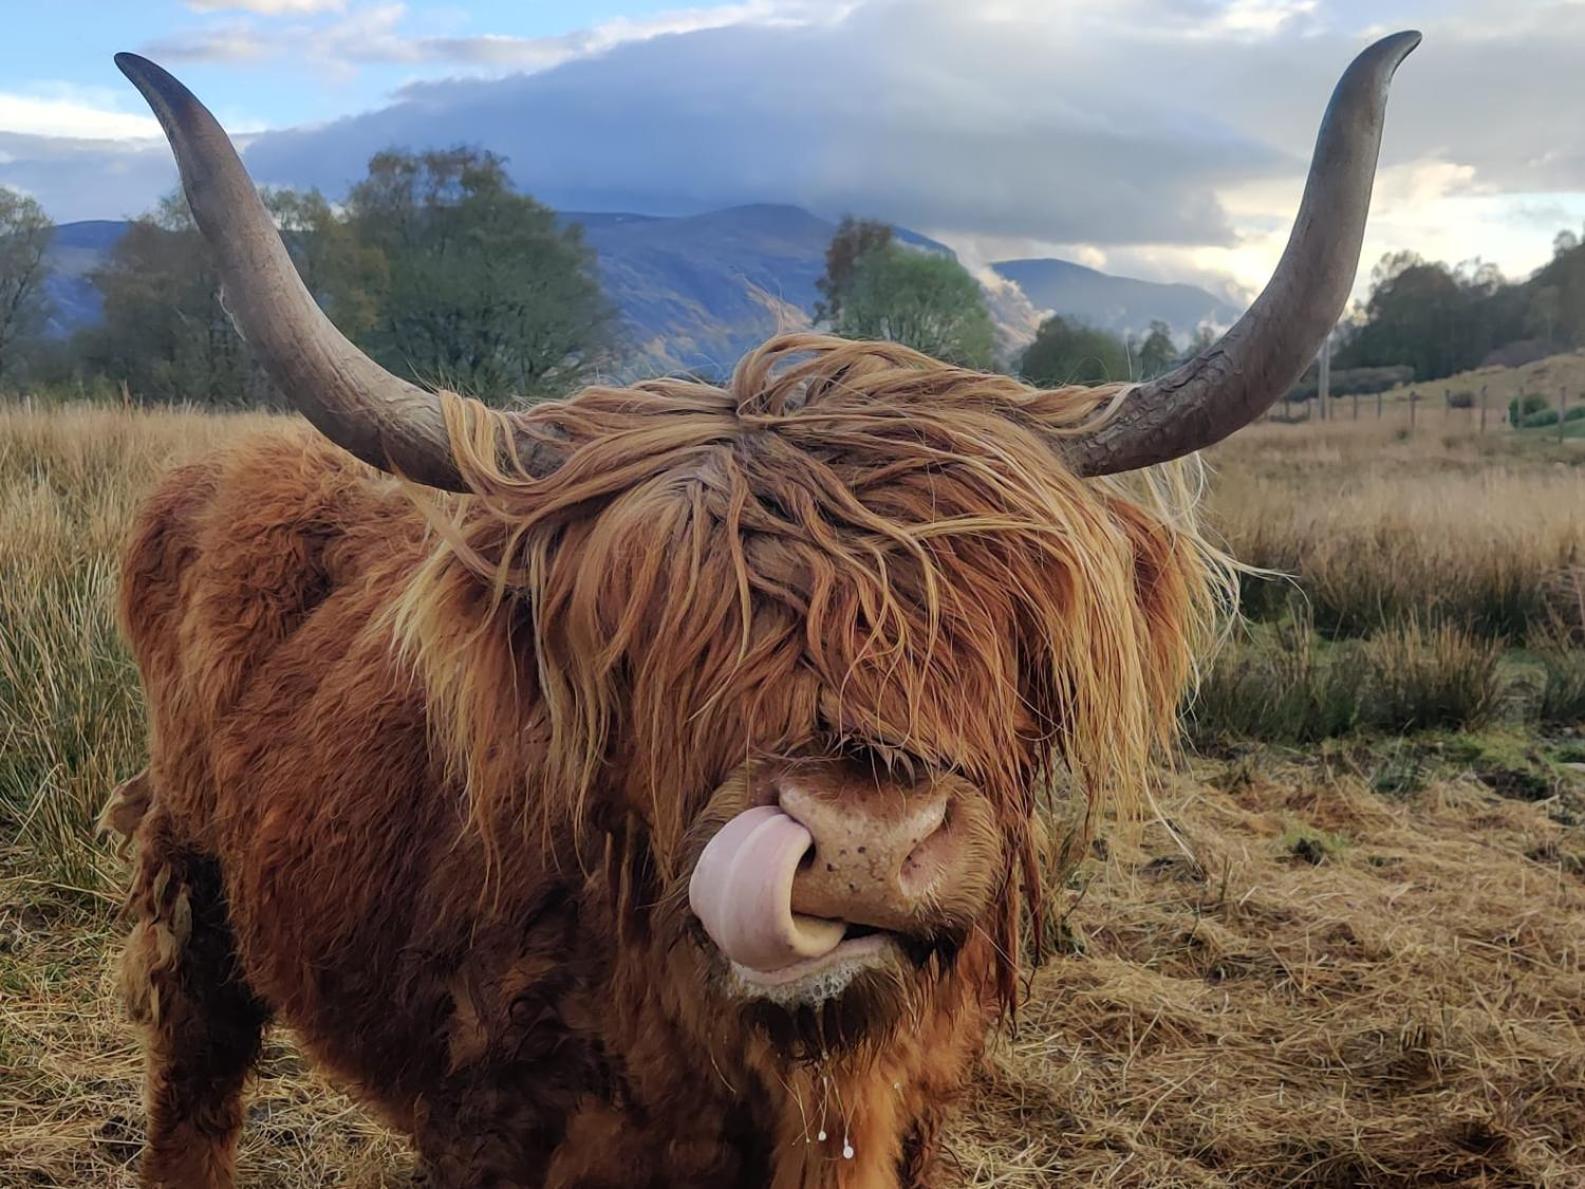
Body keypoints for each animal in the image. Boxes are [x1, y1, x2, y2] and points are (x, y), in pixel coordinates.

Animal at [105, 32, 1420, 1185]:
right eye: (649, 638)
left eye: (997, 624)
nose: (863, 843)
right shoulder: (489, 1128)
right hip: (195, 887)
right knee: (195, 1086)